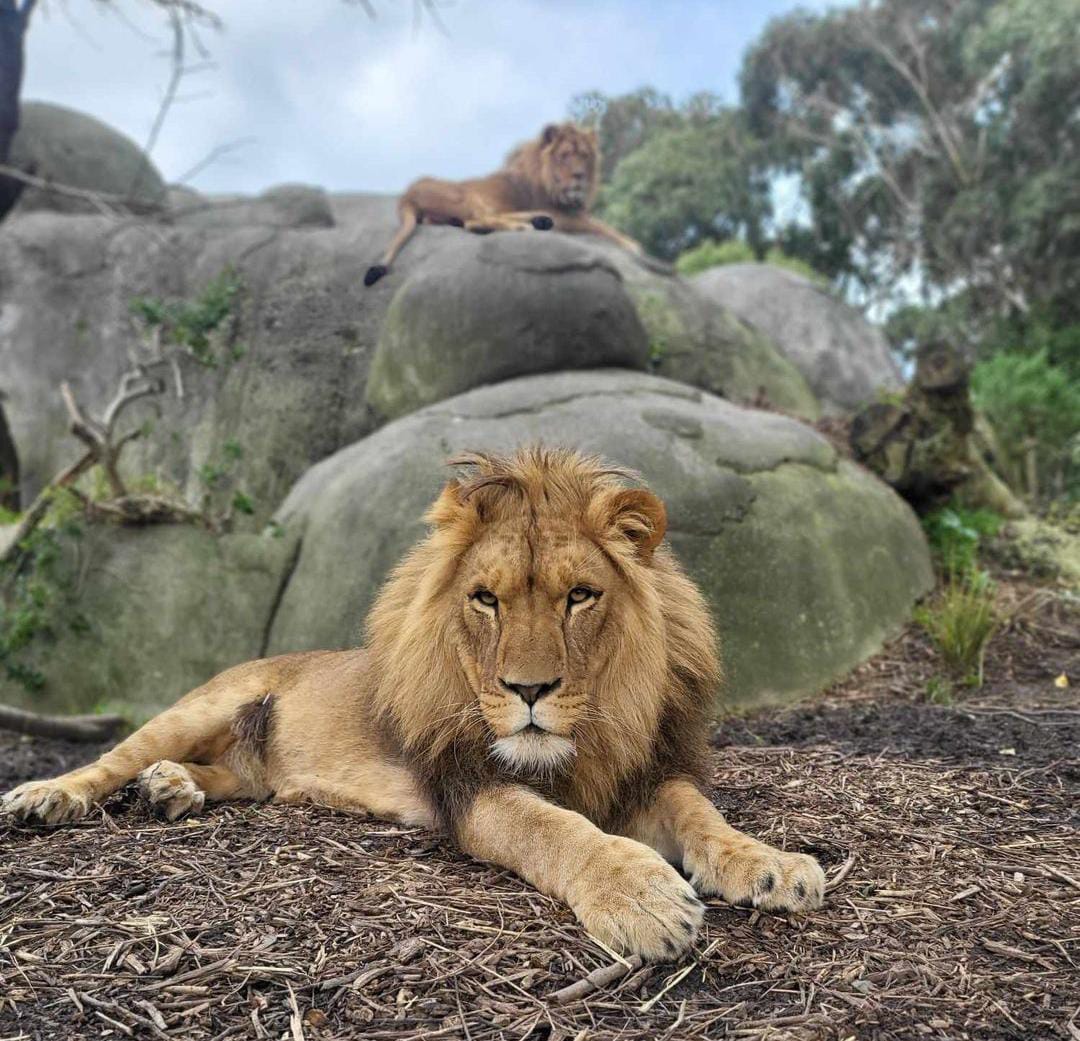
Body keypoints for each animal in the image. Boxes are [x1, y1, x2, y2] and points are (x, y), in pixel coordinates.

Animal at [4, 447, 820, 958]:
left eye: (580, 596)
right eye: (485, 599)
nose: (528, 690)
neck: (590, 734)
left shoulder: (645, 772)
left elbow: (699, 813)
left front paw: (769, 863)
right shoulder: (469, 785)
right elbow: (555, 829)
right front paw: (641, 895)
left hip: (253, 769)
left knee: (236, 777)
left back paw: (174, 788)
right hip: (202, 703)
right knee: (112, 760)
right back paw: (49, 795)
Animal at [362, 120, 639, 287]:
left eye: (584, 155)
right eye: (565, 155)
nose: (579, 176)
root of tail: (406, 195)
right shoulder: (564, 214)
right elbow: (600, 225)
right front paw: (633, 246)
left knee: (483, 220)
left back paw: (538, 221)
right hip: (465, 195)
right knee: (476, 221)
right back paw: (528, 225)